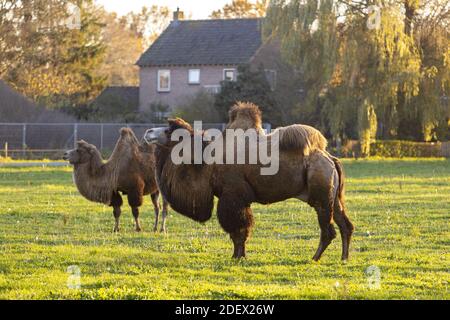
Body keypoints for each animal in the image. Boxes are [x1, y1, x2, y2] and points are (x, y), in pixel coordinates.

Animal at [146, 104, 354, 262]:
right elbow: (240, 231)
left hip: (321, 195)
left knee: (328, 230)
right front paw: (238, 256)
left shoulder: (233, 196)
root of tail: (331, 159)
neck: (206, 162)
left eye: (168, 130)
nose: (148, 132)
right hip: (333, 197)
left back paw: (315, 258)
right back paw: (343, 258)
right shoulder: (237, 199)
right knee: (345, 225)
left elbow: (238, 229)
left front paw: (238, 257)